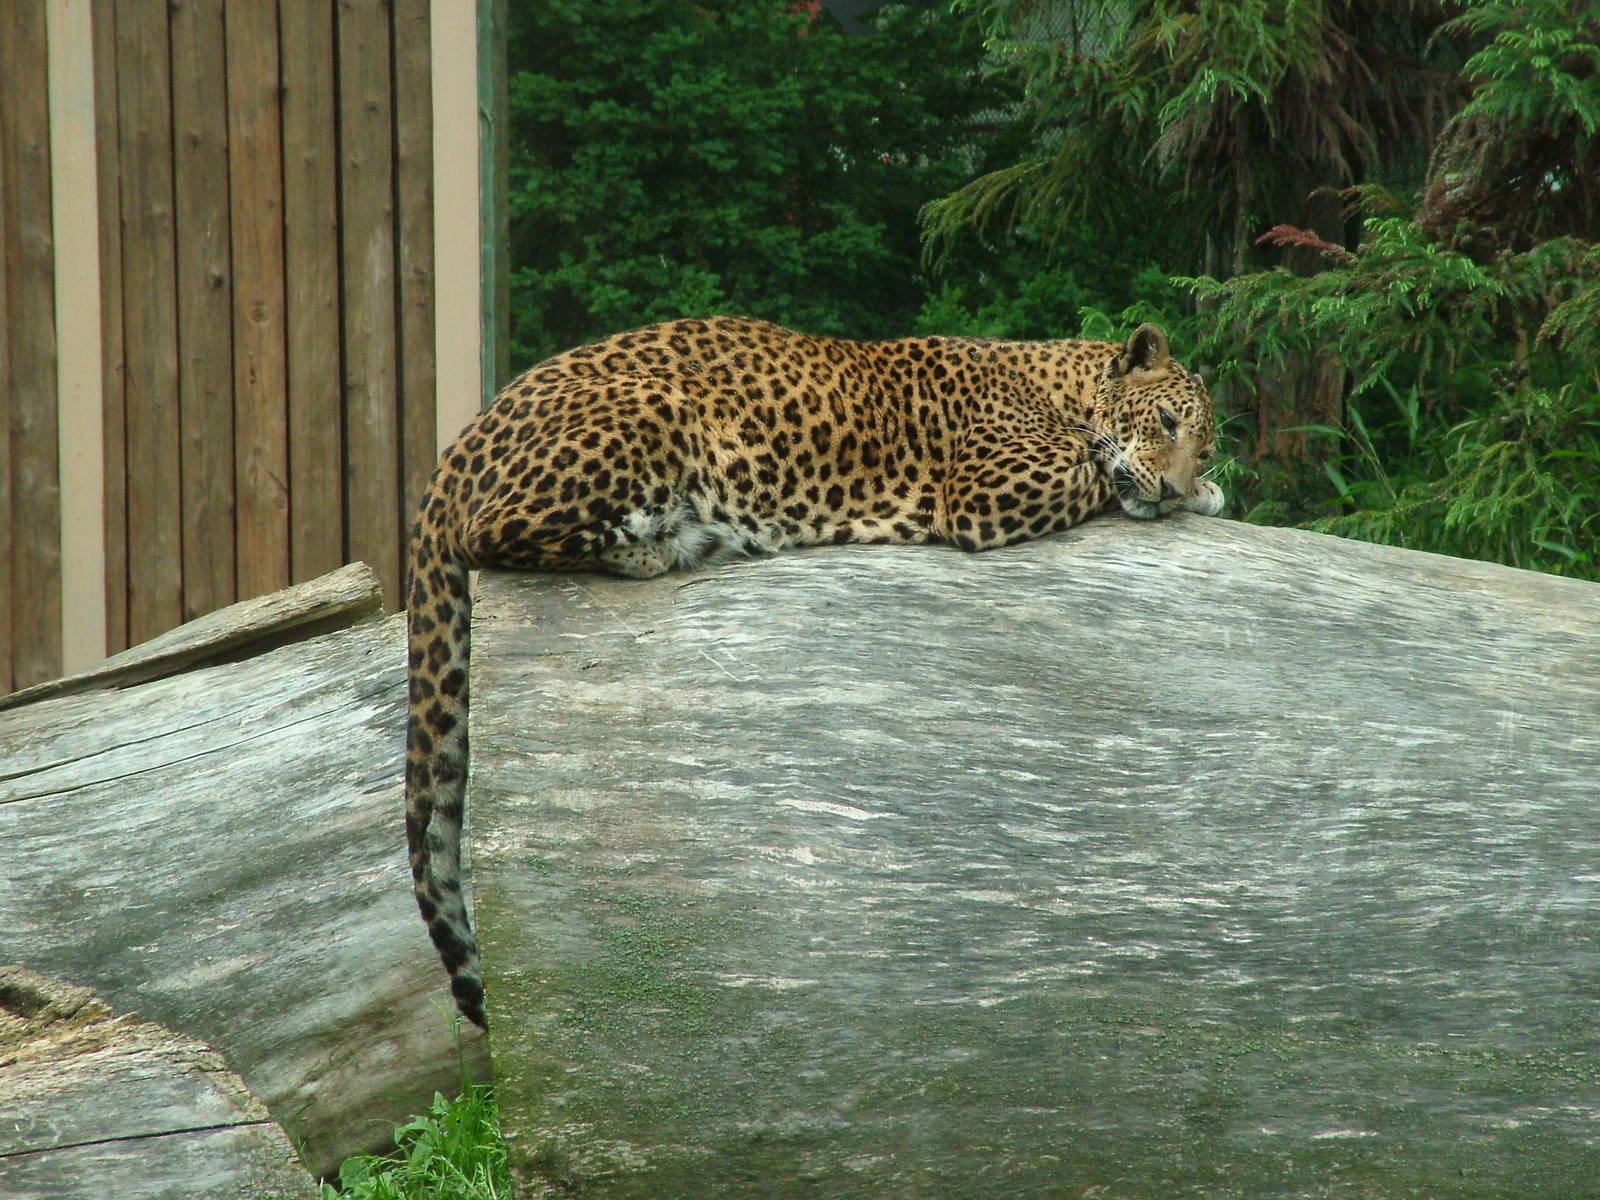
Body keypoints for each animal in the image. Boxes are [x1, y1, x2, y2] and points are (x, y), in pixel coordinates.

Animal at [405, 315, 1223, 1028]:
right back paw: (660, 545)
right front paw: (1175, 491)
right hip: (652, 409)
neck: (1060, 382)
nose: (1177, 489)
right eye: (1168, 423)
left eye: (1202, 445)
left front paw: (1201, 494)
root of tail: (455, 447)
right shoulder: (987, 490)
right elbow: (1096, 467)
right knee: (491, 530)